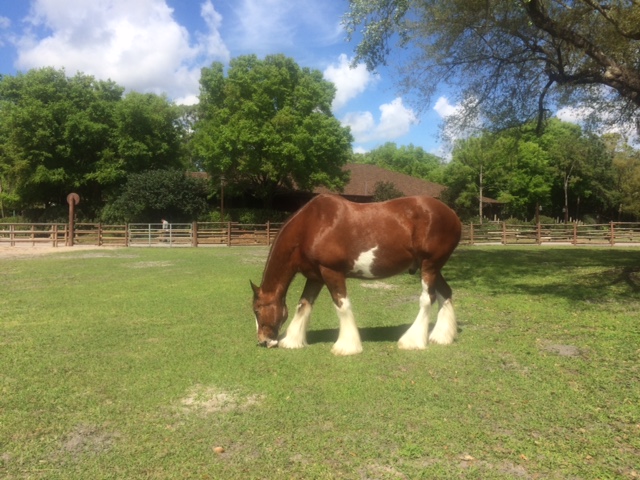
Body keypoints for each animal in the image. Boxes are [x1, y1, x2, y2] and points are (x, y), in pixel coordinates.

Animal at [250, 193, 460, 354]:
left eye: (257, 310)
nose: (263, 341)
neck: (311, 226)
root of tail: (451, 214)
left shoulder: (331, 271)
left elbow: (342, 305)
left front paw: (346, 346)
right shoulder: (315, 276)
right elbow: (303, 305)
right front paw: (292, 341)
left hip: (429, 265)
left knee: (427, 299)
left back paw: (412, 341)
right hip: (433, 267)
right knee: (445, 293)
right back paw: (441, 337)